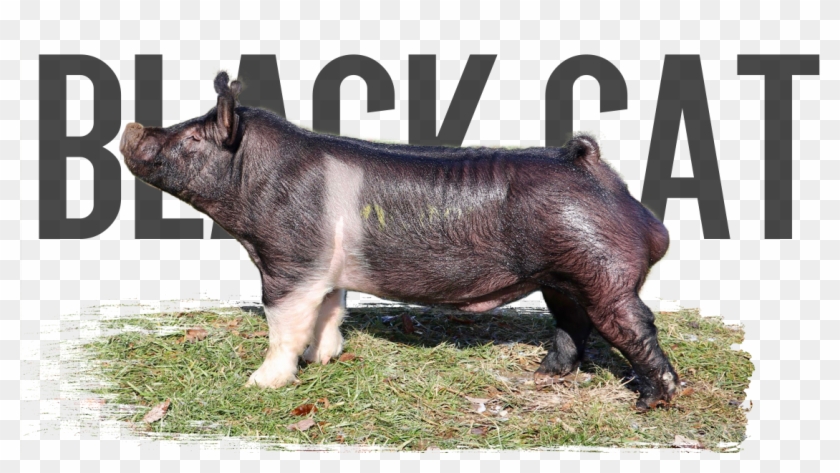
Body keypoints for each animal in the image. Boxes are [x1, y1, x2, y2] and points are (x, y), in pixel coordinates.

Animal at [120, 72, 677, 411]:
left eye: (194, 139)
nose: (130, 126)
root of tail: (591, 165)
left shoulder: (288, 261)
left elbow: (283, 325)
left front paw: (258, 384)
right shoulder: (326, 270)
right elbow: (330, 312)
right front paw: (323, 359)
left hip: (602, 271)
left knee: (634, 326)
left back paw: (651, 402)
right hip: (561, 277)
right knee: (572, 323)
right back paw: (544, 375)